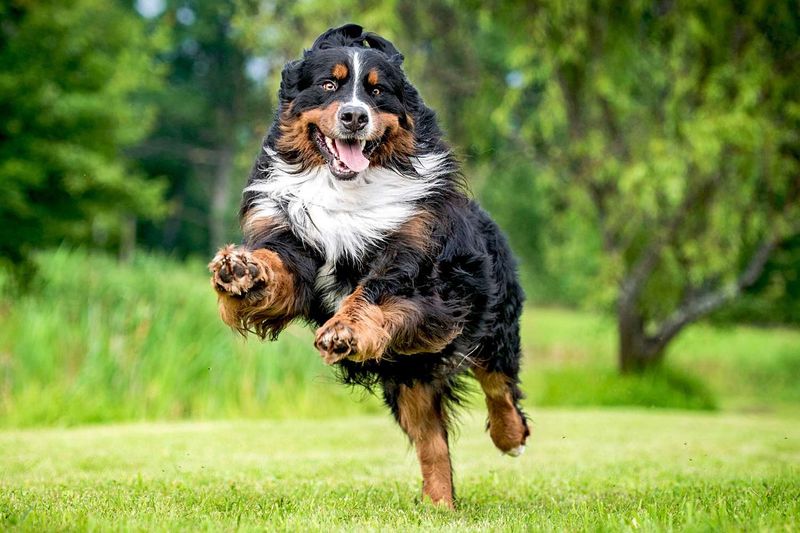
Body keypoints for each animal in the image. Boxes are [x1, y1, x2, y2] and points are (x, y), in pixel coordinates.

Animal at [209, 23, 528, 508]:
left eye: (378, 92)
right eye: (328, 85)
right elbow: (279, 269)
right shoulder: (295, 246)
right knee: (433, 444)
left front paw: (344, 331)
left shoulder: (422, 274)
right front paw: (242, 271)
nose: (355, 117)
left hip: (489, 318)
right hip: (408, 377)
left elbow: (374, 292)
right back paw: (439, 507)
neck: (346, 188)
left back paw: (511, 438)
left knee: (498, 381)